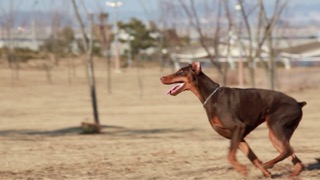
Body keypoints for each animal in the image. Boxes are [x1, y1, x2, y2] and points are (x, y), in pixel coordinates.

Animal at [161, 62, 306, 177]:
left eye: (181, 71)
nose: (161, 78)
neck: (211, 96)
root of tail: (298, 103)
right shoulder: (237, 136)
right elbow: (252, 157)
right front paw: (265, 173)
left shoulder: (238, 127)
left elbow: (230, 156)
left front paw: (243, 170)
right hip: (276, 135)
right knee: (294, 157)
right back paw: (290, 173)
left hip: (276, 126)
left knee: (288, 150)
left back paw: (268, 164)